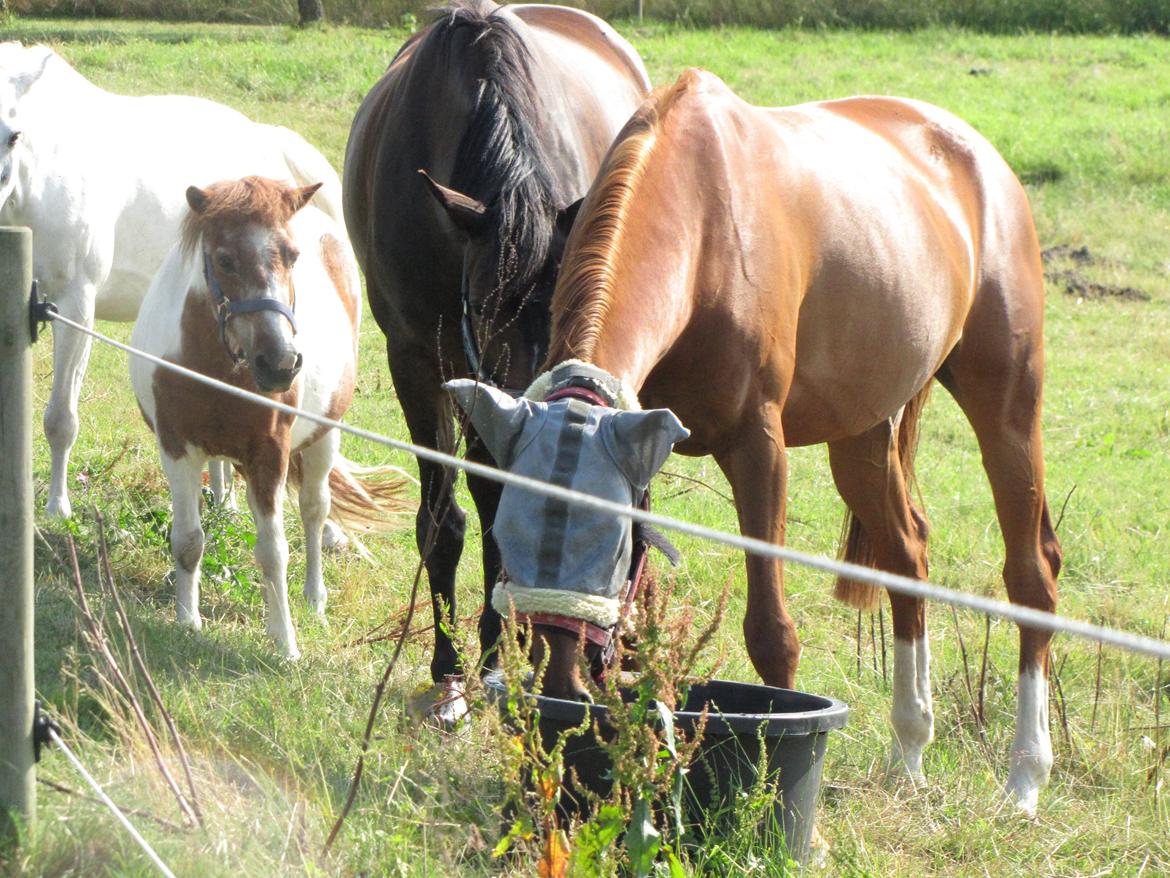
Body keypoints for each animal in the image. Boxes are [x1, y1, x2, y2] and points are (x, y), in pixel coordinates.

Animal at [0, 41, 343, 519]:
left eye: (13, 135)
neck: (40, 179)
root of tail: (262, 136)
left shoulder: (75, 305)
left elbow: (60, 419)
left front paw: (56, 508)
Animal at [131, 176, 407, 660]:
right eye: (224, 259)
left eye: (292, 256)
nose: (281, 362)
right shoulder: (177, 449)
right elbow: (187, 541)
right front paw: (188, 621)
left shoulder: (269, 457)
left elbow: (273, 551)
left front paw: (285, 642)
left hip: (324, 438)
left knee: (315, 510)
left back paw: (314, 597)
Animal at [341, 0, 655, 721]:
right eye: (484, 308)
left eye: (565, 309)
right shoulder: (419, 363)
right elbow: (445, 522)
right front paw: (451, 672)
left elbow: (499, 516)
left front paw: (497, 662)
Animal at [451, 70, 1067, 819]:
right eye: (507, 534)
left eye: (611, 544)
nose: (561, 683)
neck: (703, 226)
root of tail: (978, 157)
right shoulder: (645, 446)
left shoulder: (758, 448)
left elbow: (772, 636)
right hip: (863, 436)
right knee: (908, 555)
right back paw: (910, 751)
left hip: (1006, 408)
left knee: (1031, 574)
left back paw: (1026, 777)